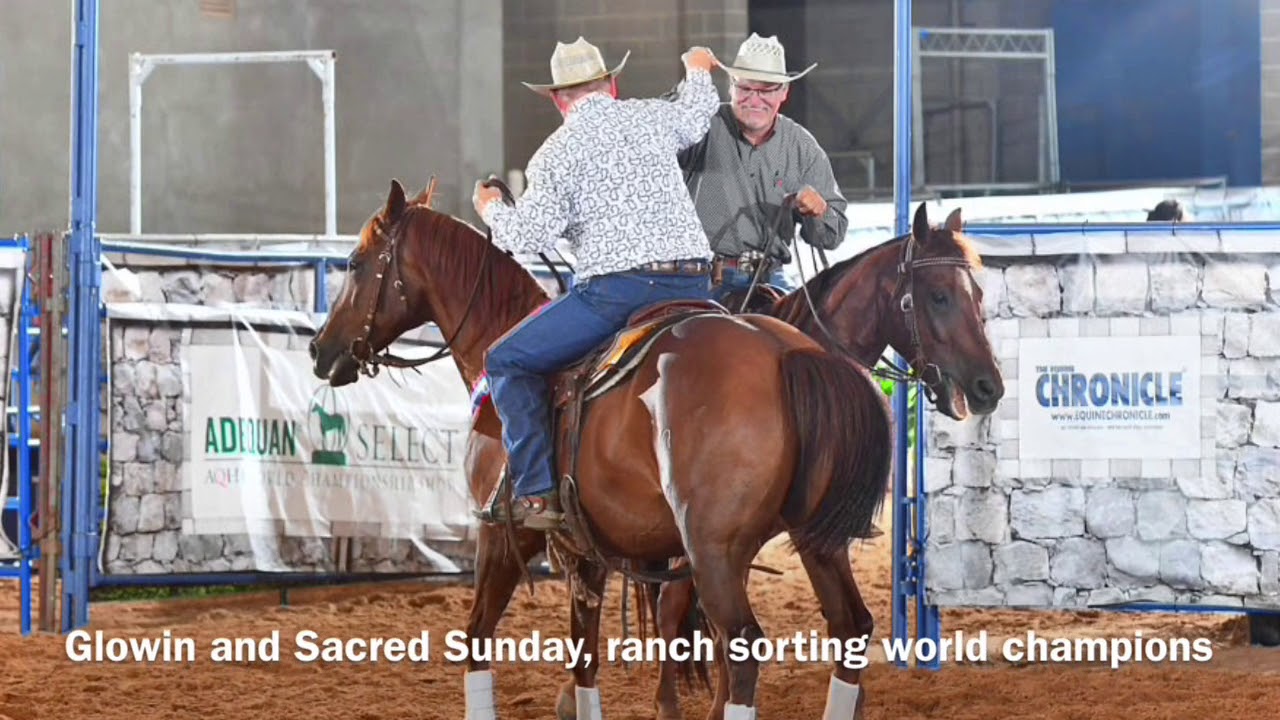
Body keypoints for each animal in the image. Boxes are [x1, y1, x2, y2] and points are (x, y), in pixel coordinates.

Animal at [308, 178, 890, 717]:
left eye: (355, 262)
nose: (318, 350)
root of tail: (784, 352)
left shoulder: (500, 534)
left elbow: (476, 634)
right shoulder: (587, 551)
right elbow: (583, 656)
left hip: (714, 550)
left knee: (742, 646)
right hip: (816, 538)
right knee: (850, 626)